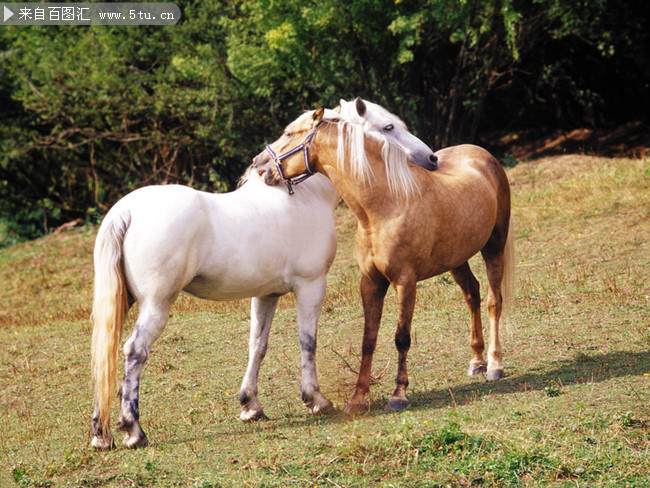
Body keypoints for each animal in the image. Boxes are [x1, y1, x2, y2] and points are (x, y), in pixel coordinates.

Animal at [88, 98, 432, 450]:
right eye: (388, 127)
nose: (430, 157)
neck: (306, 197)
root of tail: (127, 210)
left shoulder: (266, 294)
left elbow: (258, 345)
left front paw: (250, 405)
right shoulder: (311, 286)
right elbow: (308, 341)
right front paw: (316, 400)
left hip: (124, 302)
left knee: (106, 355)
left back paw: (102, 434)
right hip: (156, 304)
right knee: (134, 352)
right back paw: (134, 430)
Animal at [253, 101, 512, 414]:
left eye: (289, 133)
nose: (259, 165)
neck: (386, 204)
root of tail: (481, 154)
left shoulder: (405, 282)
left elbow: (402, 337)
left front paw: (398, 394)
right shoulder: (371, 282)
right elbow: (369, 339)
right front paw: (357, 398)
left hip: (494, 247)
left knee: (493, 301)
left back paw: (494, 365)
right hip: (455, 258)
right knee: (472, 294)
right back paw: (476, 362)